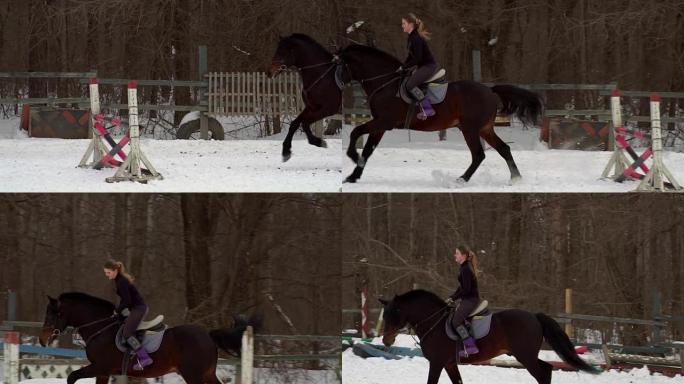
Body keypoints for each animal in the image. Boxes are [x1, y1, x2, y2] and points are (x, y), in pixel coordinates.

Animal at [38, 292, 260, 384]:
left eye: (52, 314)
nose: (41, 339)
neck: (100, 327)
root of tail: (207, 334)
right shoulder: (103, 372)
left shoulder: (99, 367)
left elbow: (71, 377)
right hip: (206, 374)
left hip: (194, 375)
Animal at [268, 33, 342, 163]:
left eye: (282, 52)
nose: (269, 72)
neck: (321, 76)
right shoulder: (311, 107)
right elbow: (295, 124)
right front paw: (286, 151)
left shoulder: (328, 109)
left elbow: (305, 123)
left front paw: (318, 142)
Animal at [338, 44, 544, 185]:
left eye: (340, 63)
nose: (338, 84)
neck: (386, 84)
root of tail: (490, 91)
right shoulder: (380, 125)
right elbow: (368, 149)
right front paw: (353, 176)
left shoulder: (383, 122)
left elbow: (355, 132)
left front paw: (353, 157)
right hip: (485, 129)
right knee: (504, 149)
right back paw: (516, 178)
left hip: (470, 129)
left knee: (479, 154)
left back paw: (461, 180)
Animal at [380, 290, 600, 382]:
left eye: (395, 313)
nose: (386, 340)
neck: (434, 323)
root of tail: (534, 317)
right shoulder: (450, 364)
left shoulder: (437, 363)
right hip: (526, 355)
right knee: (546, 369)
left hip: (525, 356)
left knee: (543, 372)